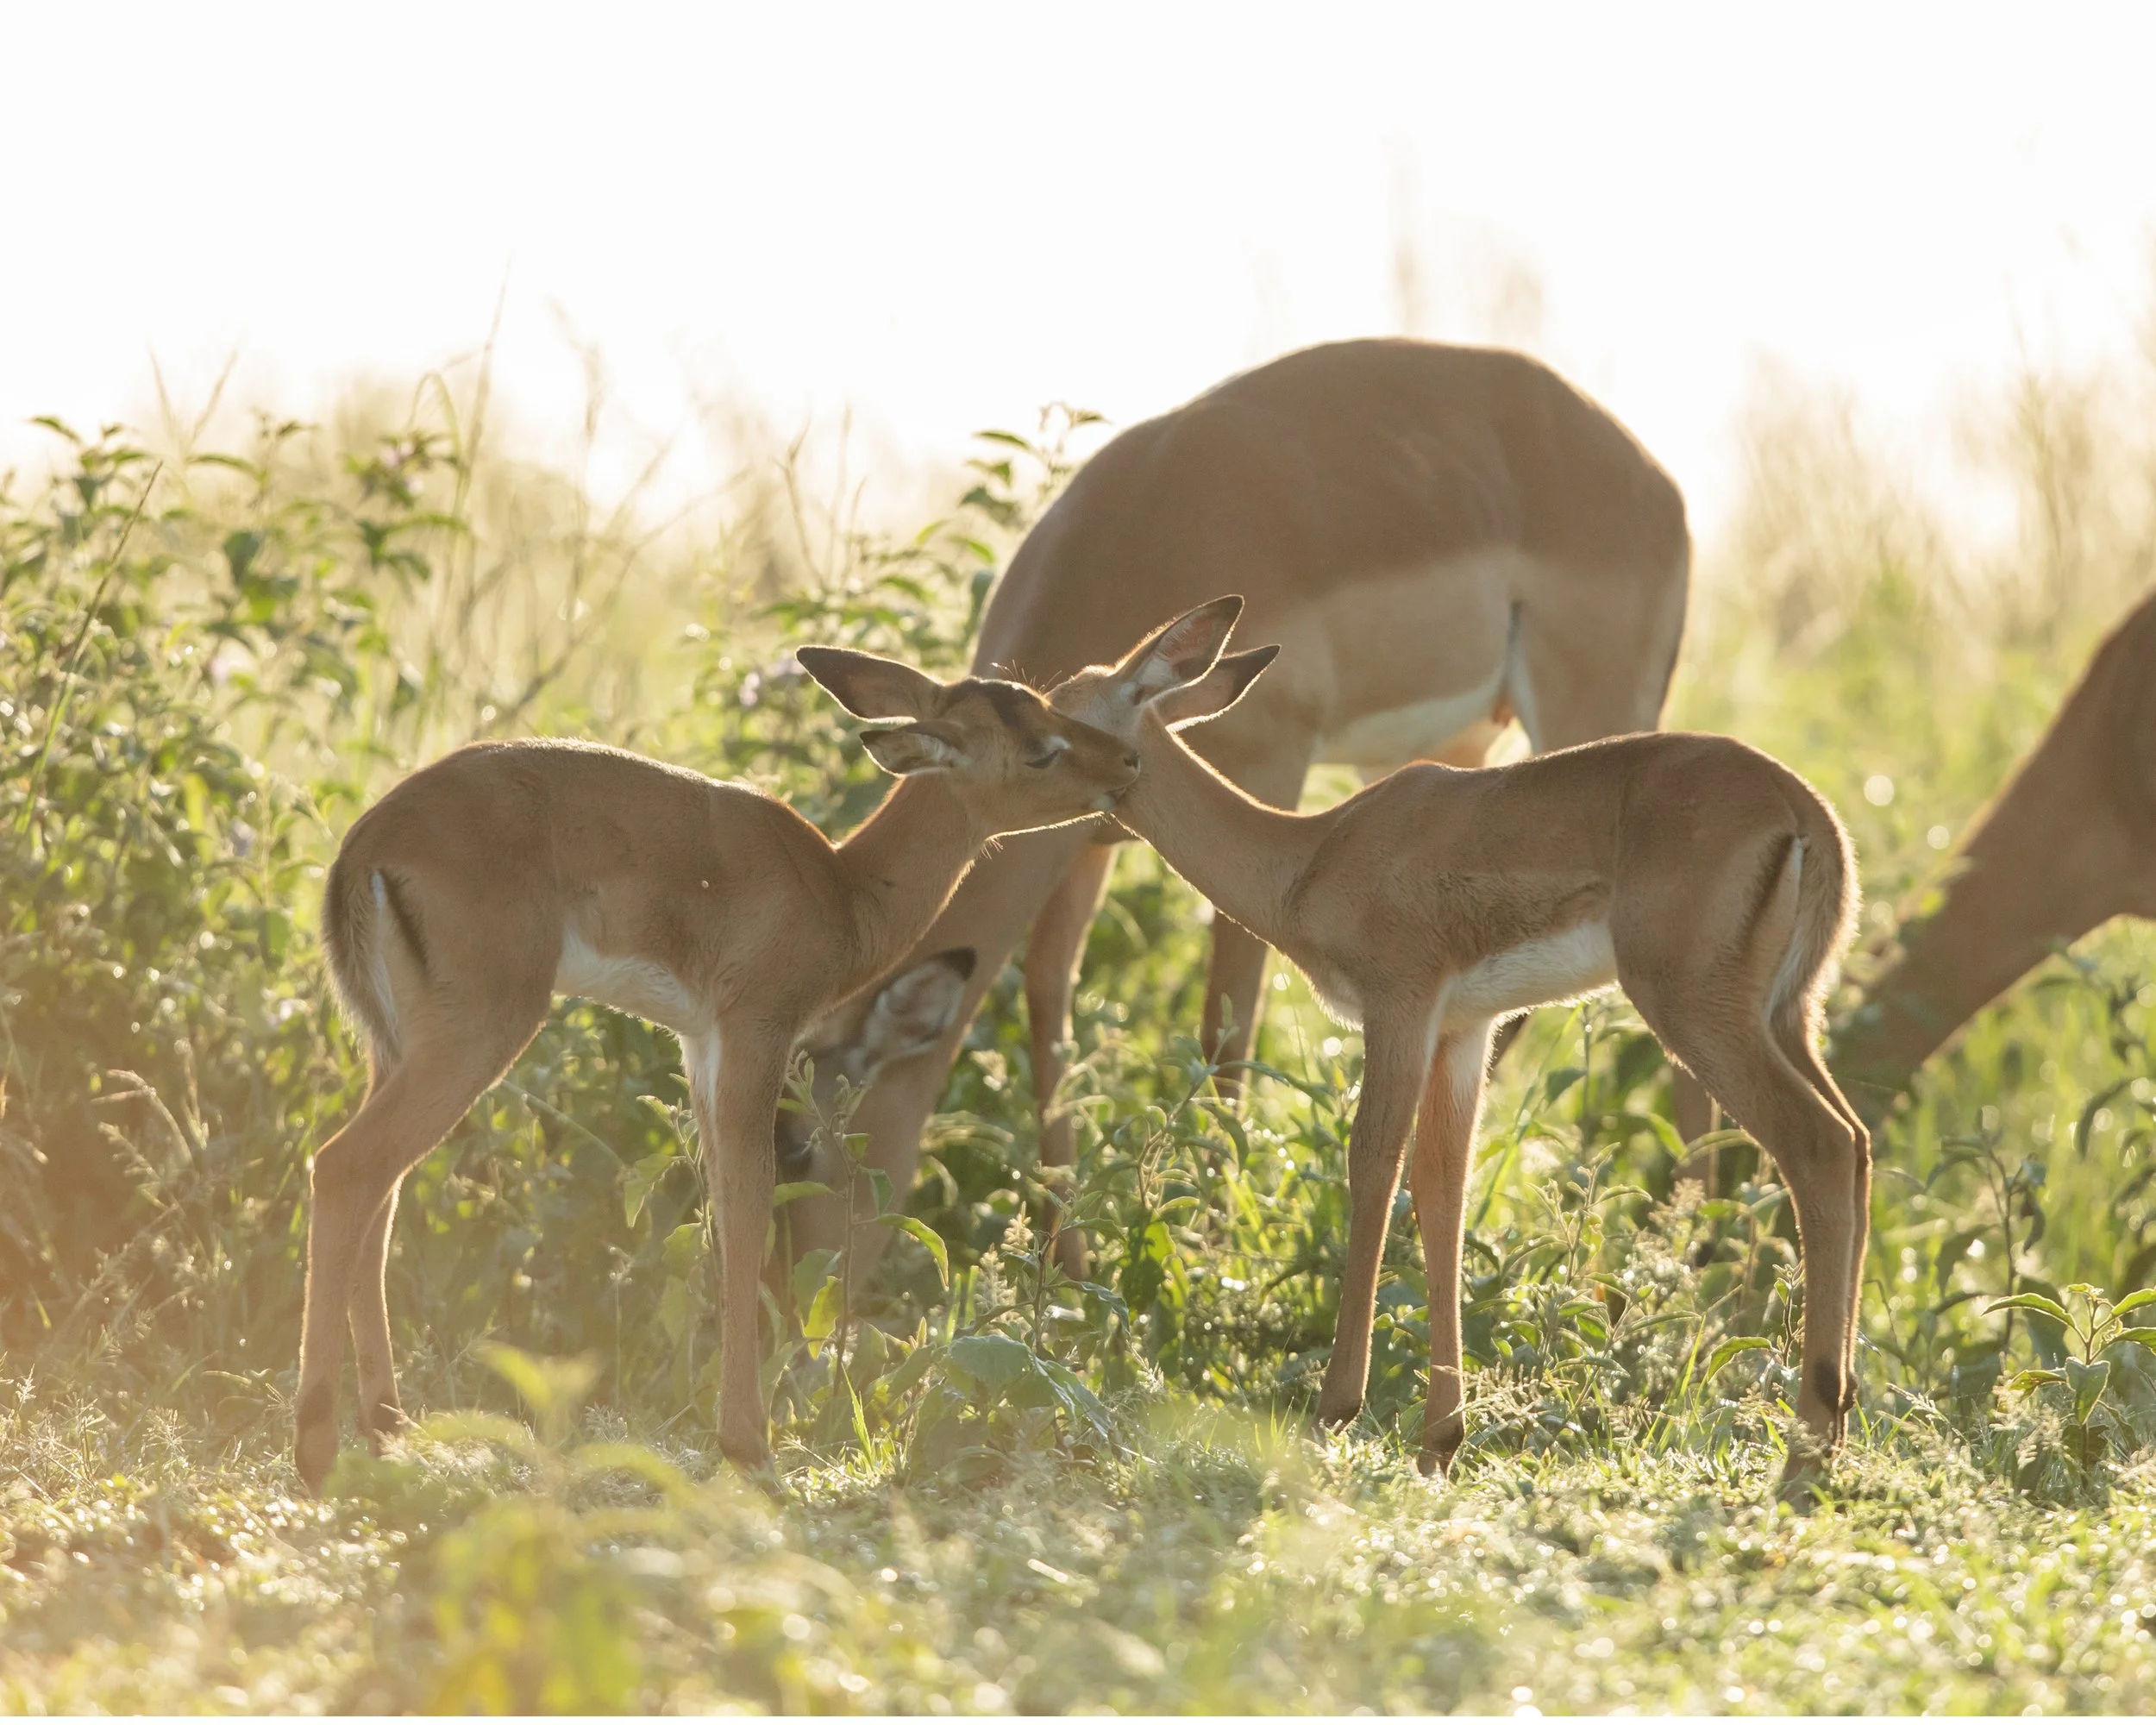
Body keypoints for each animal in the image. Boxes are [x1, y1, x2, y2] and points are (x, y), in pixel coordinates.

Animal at [296, 654, 1138, 1490]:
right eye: (1039, 748)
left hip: (396, 1048)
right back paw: (318, 1450)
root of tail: (366, 846)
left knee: (381, 1192)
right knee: (345, 1167)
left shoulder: (701, 1047)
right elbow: (748, 1212)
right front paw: (749, 1446)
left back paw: (388, 1428)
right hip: (478, 1032)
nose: (1128, 764)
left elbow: (723, 1213)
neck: (841, 889)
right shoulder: (754, 1033)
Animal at [784, 339, 1694, 1279]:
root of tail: (1652, 477)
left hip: (1594, 732)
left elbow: (1227, 1029)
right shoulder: (1088, 833)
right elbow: (1050, 1004)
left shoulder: (1271, 772)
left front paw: (1212, 1250)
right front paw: (1071, 1268)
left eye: (802, 1146)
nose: (800, 1287)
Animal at [1049, 597, 1868, 1485]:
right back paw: (1836, 1423)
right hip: (1789, 1015)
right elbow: (1443, 1188)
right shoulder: (1464, 1031)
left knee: (1817, 1145)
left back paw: (1804, 1455)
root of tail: (1805, 812)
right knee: (1857, 1143)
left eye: (1058, 710)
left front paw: (1335, 1410)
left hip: (1697, 1013)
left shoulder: (1399, 1007)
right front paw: (1440, 1439)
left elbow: (1374, 1164)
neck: (1310, 858)